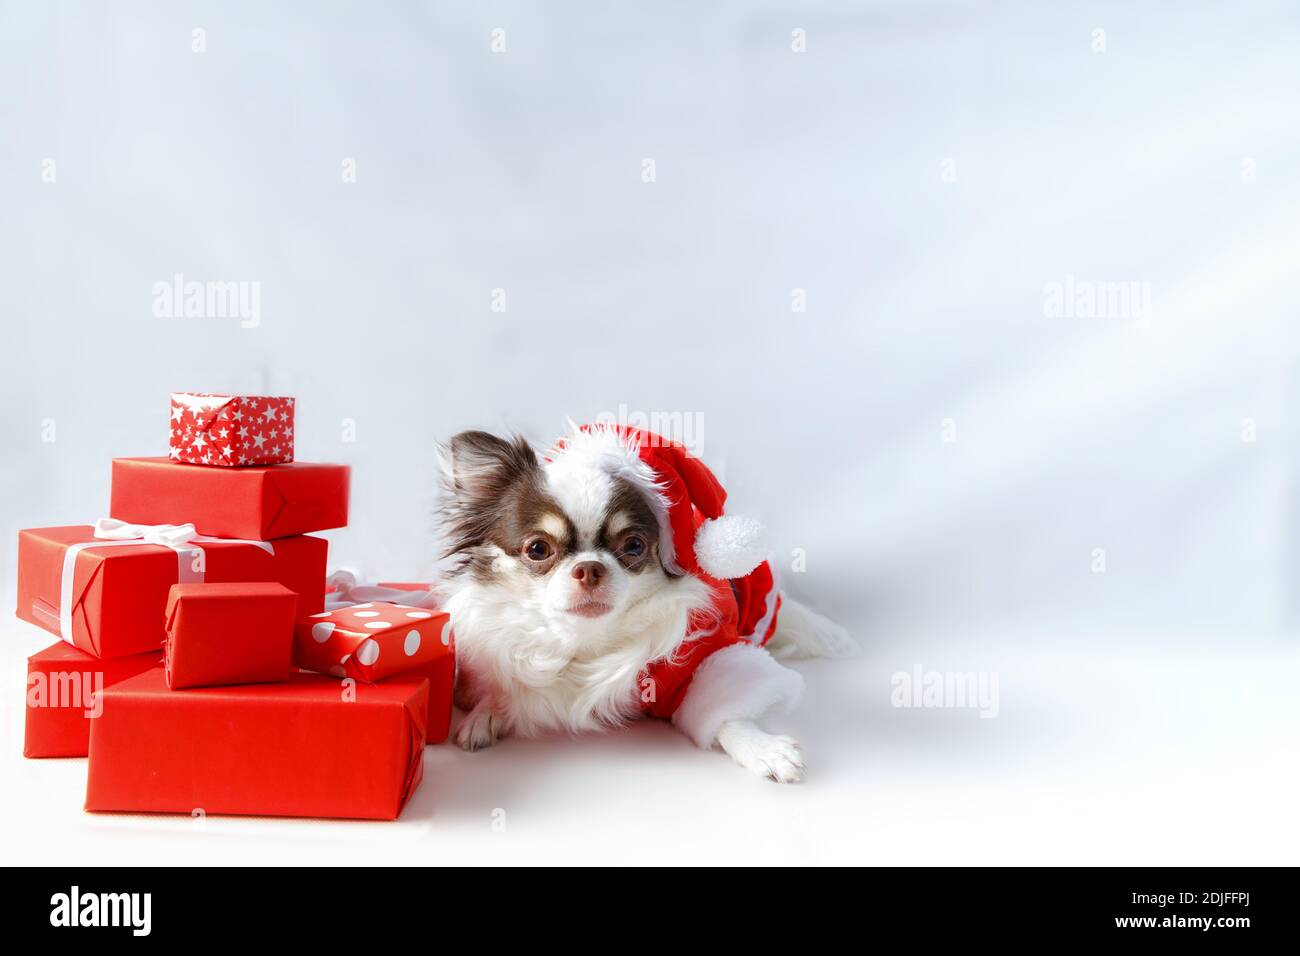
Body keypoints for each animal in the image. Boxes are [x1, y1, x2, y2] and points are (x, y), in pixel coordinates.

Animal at [434, 421, 852, 780]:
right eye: (538, 549)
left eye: (633, 546)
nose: (589, 567)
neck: (586, 644)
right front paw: (490, 711)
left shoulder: (694, 663)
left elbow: (725, 706)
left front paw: (761, 747)